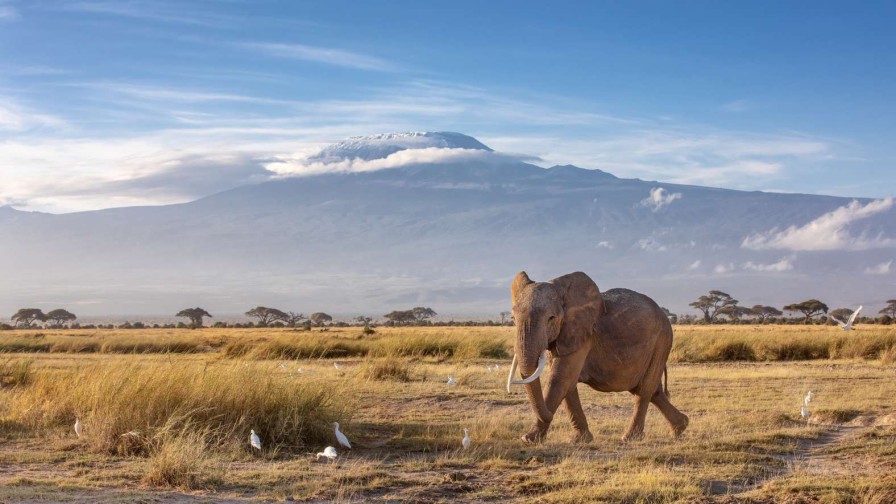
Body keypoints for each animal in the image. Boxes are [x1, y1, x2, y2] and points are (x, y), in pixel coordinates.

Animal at [508, 270, 688, 442]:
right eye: (513, 319)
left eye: (551, 318)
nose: (550, 416)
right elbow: (568, 383)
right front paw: (581, 439)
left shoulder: (583, 334)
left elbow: (560, 379)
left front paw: (528, 439)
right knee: (652, 390)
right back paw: (681, 427)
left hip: (662, 340)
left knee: (644, 389)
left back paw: (630, 437)